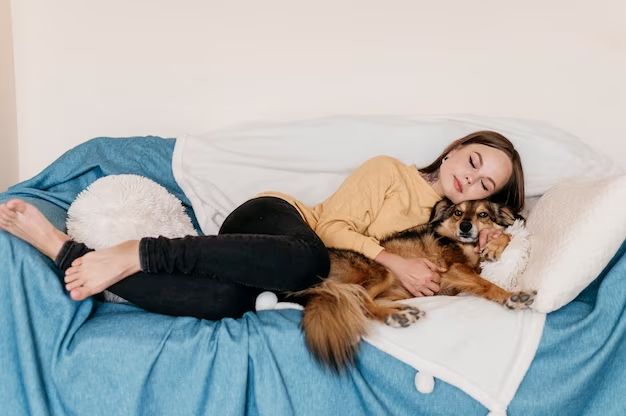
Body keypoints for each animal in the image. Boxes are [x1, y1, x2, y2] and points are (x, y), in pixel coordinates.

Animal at [300, 200, 532, 372]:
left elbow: (507, 234)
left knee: (363, 301)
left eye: (483, 214)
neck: (466, 246)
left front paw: (494, 246)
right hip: (382, 273)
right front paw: (511, 297)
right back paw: (396, 316)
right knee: (360, 301)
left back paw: (402, 312)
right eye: (458, 212)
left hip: (394, 291)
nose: (465, 226)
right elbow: (486, 284)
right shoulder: (455, 269)